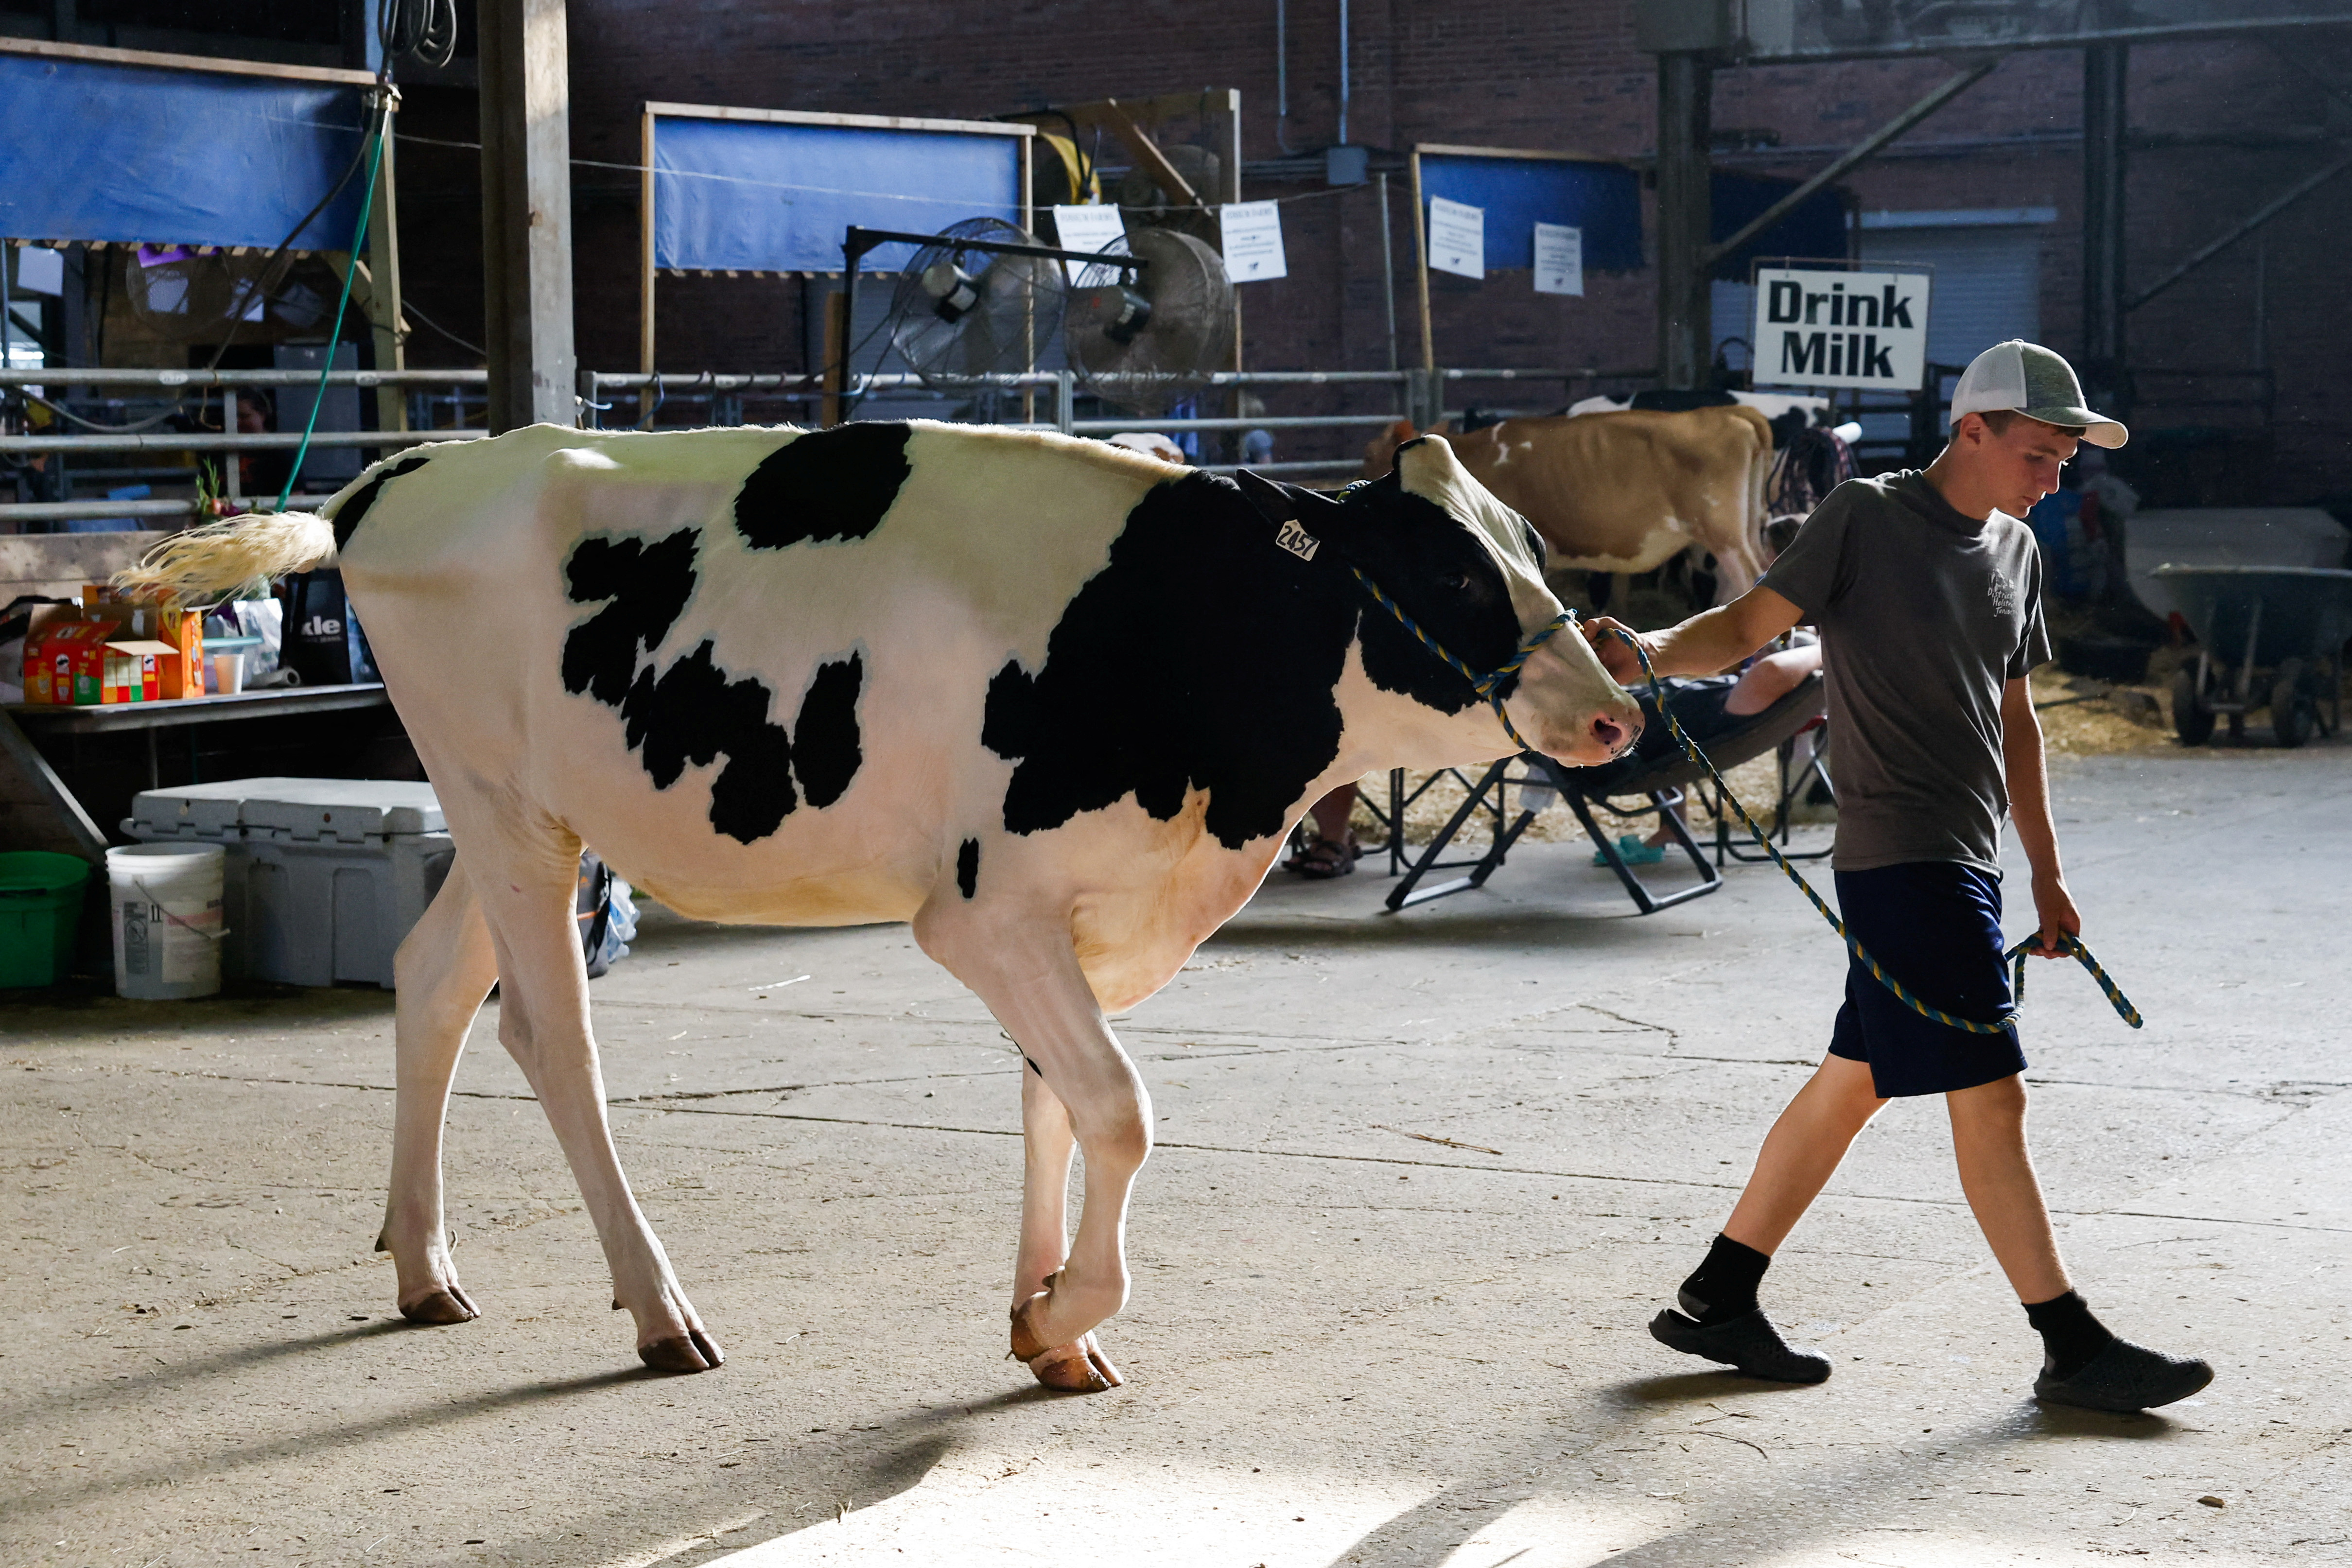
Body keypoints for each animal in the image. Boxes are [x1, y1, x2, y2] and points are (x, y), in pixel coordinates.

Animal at [121, 421, 1641, 1391]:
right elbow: (1119, 1109)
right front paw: (1069, 1304)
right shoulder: (980, 913)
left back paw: (423, 1265)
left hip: (530, 816)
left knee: (433, 977)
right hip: (501, 807)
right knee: (551, 1039)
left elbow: (1052, 1101)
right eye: (1449, 569)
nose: (1617, 707)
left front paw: (1048, 1327)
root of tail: (409, 468)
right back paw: (658, 1311)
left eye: (1526, 540)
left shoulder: (1075, 912)